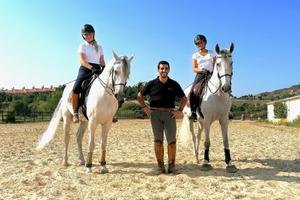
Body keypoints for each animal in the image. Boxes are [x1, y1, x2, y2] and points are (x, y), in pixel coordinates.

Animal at [179, 43, 238, 173]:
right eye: (218, 64)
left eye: (231, 63)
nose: (226, 87)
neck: (218, 94)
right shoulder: (207, 120)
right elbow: (207, 142)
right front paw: (206, 162)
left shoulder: (224, 119)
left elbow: (225, 141)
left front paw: (229, 163)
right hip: (191, 119)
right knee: (194, 137)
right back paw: (196, 158)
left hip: (201, 122)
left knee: (198, 136)